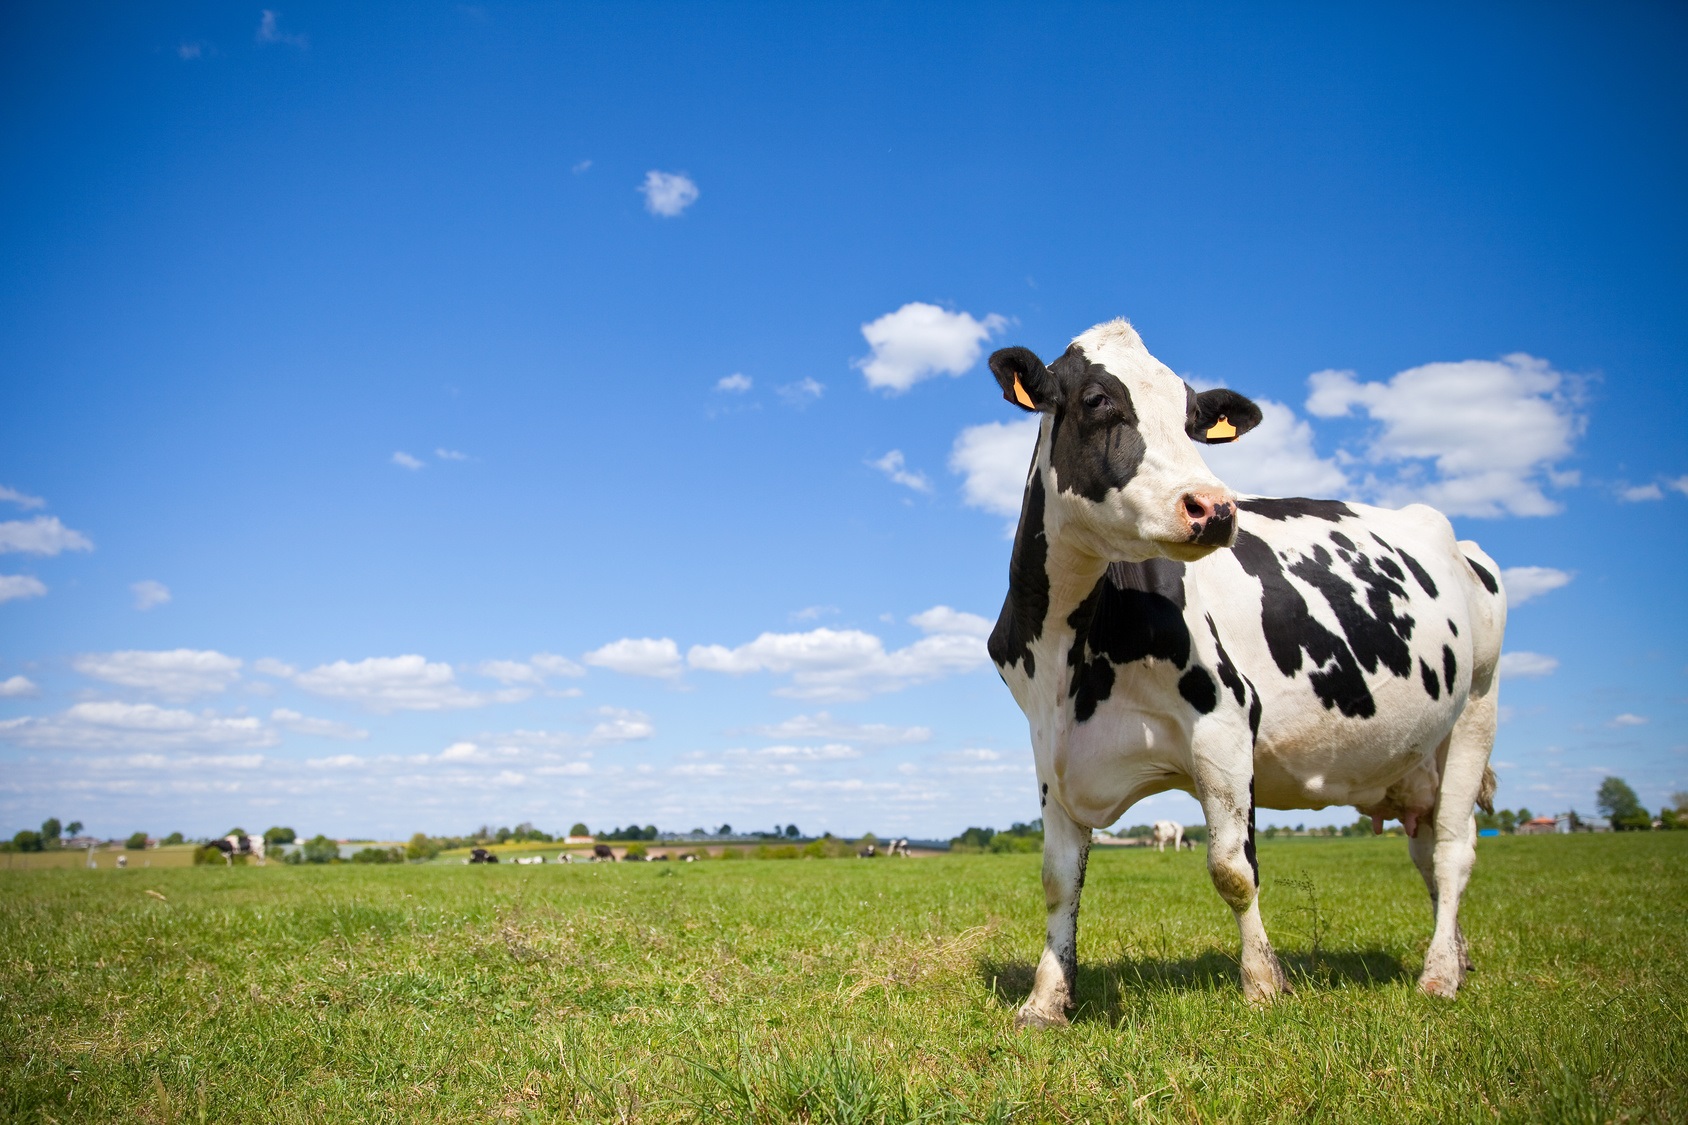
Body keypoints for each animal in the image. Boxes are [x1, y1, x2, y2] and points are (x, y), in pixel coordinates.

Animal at [985, 320, 1504, 1026]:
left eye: (1193, 420)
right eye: (1096, 399)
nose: (1215, 508)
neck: (1070, 648)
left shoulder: (1226, 720)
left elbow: (1233, 869)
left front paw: (1263, 983)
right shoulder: (1050, 746)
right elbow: (1058, 880)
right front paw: (1045, 999)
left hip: (1475, 707)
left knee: (1453, 851)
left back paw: (1440, 973)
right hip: (1414, 755)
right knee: (1426, 849)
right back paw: (1460, 955)